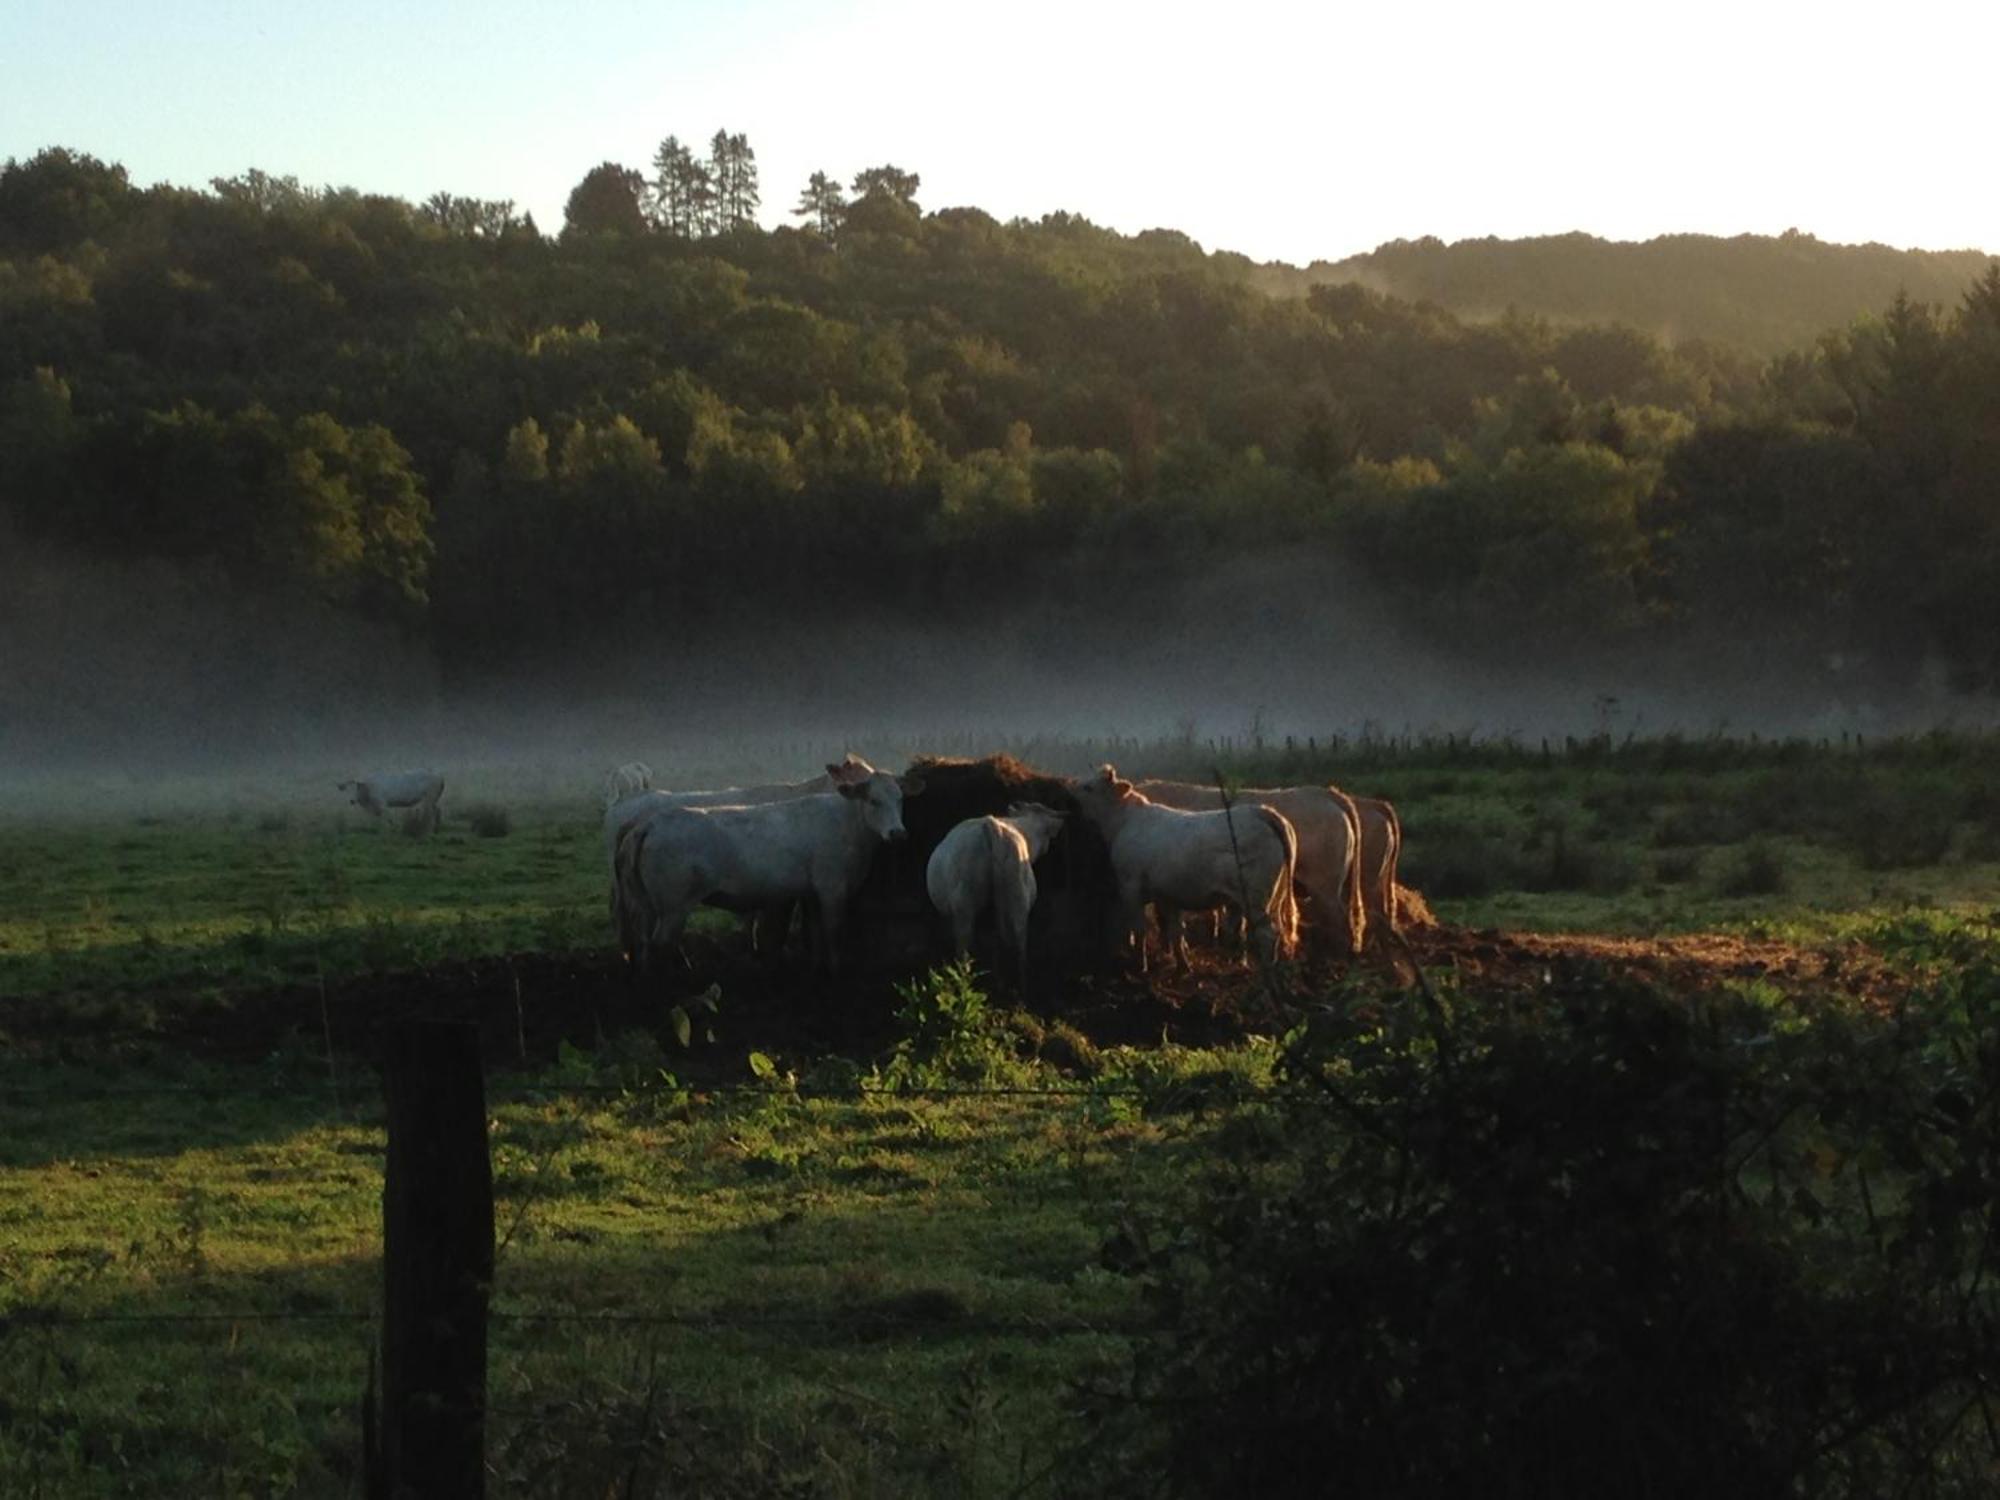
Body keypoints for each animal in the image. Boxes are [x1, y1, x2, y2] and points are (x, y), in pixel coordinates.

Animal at [620, 764, 924, 976]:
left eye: (900, 799)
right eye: (874, 800)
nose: (898, 833)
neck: (848, 823)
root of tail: (651, 824)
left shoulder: (811, 893)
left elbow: (815, 932)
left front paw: (817, 968)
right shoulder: (832, 888)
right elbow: (833, 931)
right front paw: (836, 971)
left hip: (650, 905)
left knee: (645, 941)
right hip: (674, 907)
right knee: (660, 944)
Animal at [928, 804, 1072, 992]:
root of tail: (991, 825)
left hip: (964, 908)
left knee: (964, 949)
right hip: (1017, 899)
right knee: (1019, 943)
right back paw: (1017, 988)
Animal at [1072, 768, 1304, 968]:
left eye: (1088, 787)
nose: (1070, 789)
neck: (1124, 822)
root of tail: (1262, 811)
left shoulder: (1130, 886)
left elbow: (1139, 928)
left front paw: (1141, 964)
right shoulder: (1166, 894)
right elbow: (1175, 930)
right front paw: (1182, 964)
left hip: (1255, 898)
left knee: (1267, 934)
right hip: (1270, 896)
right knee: (1262, 929)